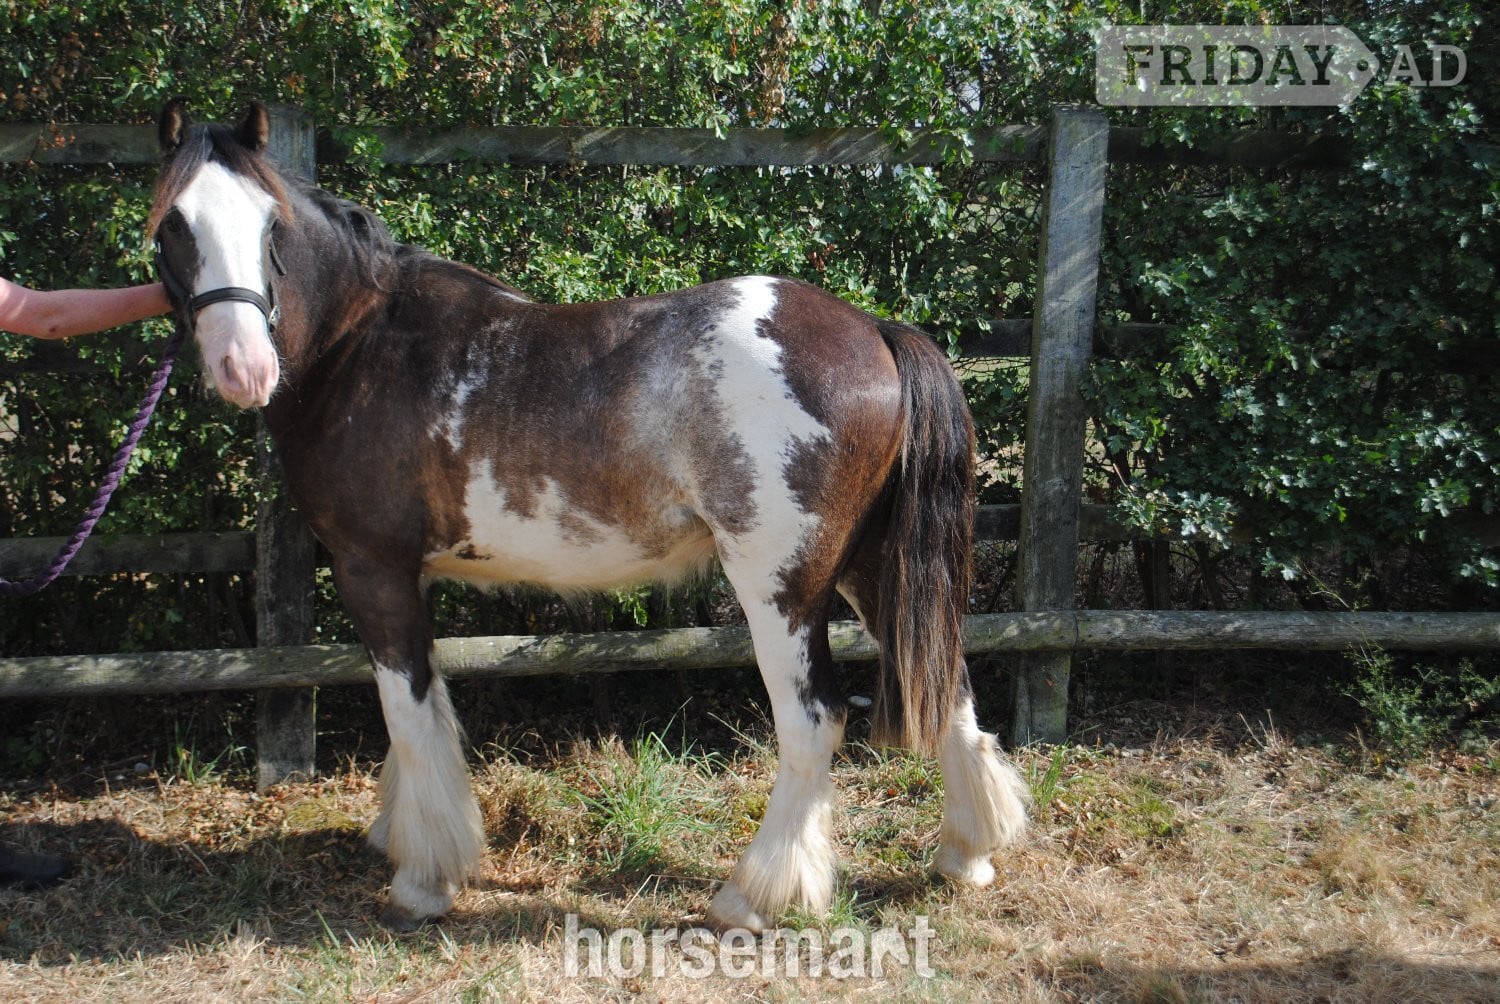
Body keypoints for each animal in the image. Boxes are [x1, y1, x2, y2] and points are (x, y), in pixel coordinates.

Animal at [149, 100, 1028, 932]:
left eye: (270, 224)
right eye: (173, 223)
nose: (242, 366)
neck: (363, 345)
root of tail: (874, 329)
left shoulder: (374, 571)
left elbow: (408, 712)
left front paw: (423, 880)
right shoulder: (413, 579)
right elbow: (425, 713)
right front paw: (401, 835)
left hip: (781, 589)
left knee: (814, 725)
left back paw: (751, 898)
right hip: (873, 568)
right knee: (949, 685)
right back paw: (967, 855)